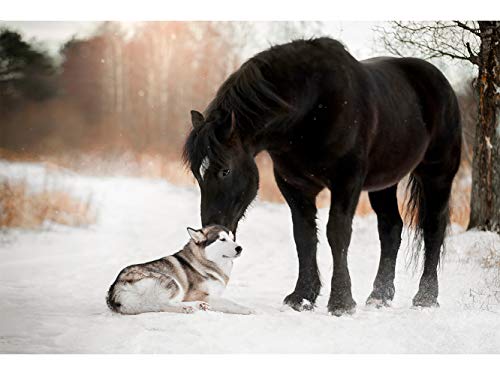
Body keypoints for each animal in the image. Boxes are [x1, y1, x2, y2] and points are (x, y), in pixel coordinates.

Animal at [106, 226, 254, 314]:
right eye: (222, 239)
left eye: (232, 239)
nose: (239, 248)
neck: (204, 262)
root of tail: (115, 289)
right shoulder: (197, 294)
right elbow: (230, 302)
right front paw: (248, 309)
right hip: (173, 282)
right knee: (164, 304)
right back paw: (187, 307)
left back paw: (199, 305)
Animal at [184, 37, 460, 318]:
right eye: (197, 174)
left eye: (225, 170)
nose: (210, 229)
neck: (310, 109)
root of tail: (440, 81)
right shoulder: (295, 186)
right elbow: (304, 236)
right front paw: (302, 297)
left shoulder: (346, 182)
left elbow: (337, 233)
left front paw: (341, 302)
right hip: (384, 183)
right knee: (390, 228)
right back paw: (379, 296)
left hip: (437, 174)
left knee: (433, 228)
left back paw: (425, 298)